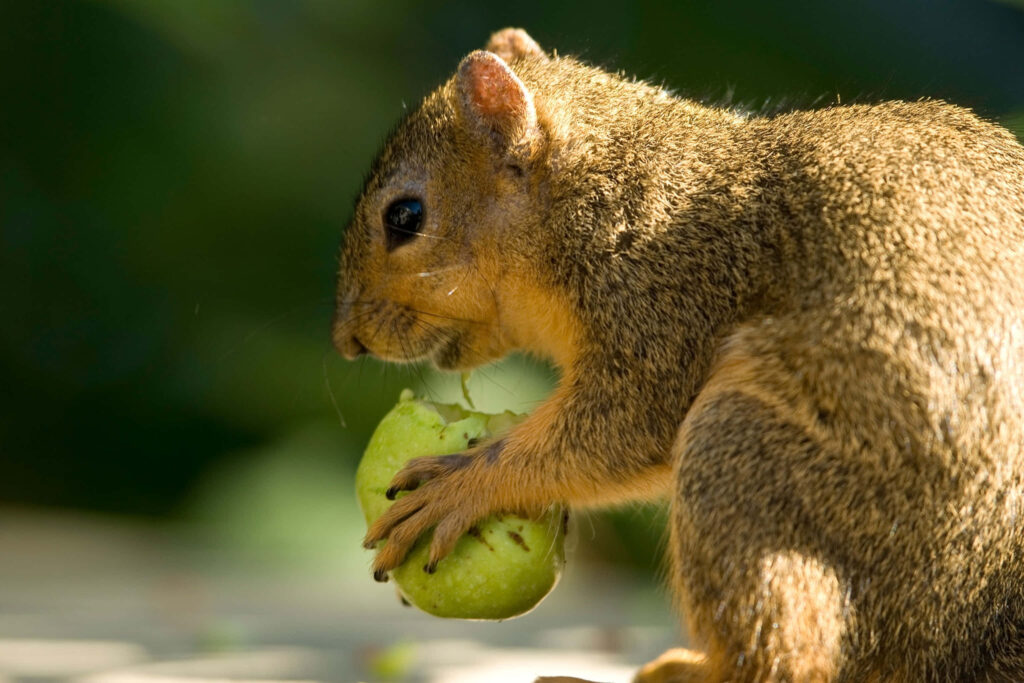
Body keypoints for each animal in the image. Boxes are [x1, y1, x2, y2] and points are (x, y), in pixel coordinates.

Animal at [333, 28, 1024, 682]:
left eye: (405, 216)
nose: (345, 341)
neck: (607, 193)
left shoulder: (667, 303)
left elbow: (621, 432)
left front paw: (463, 484)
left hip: (748, 461)